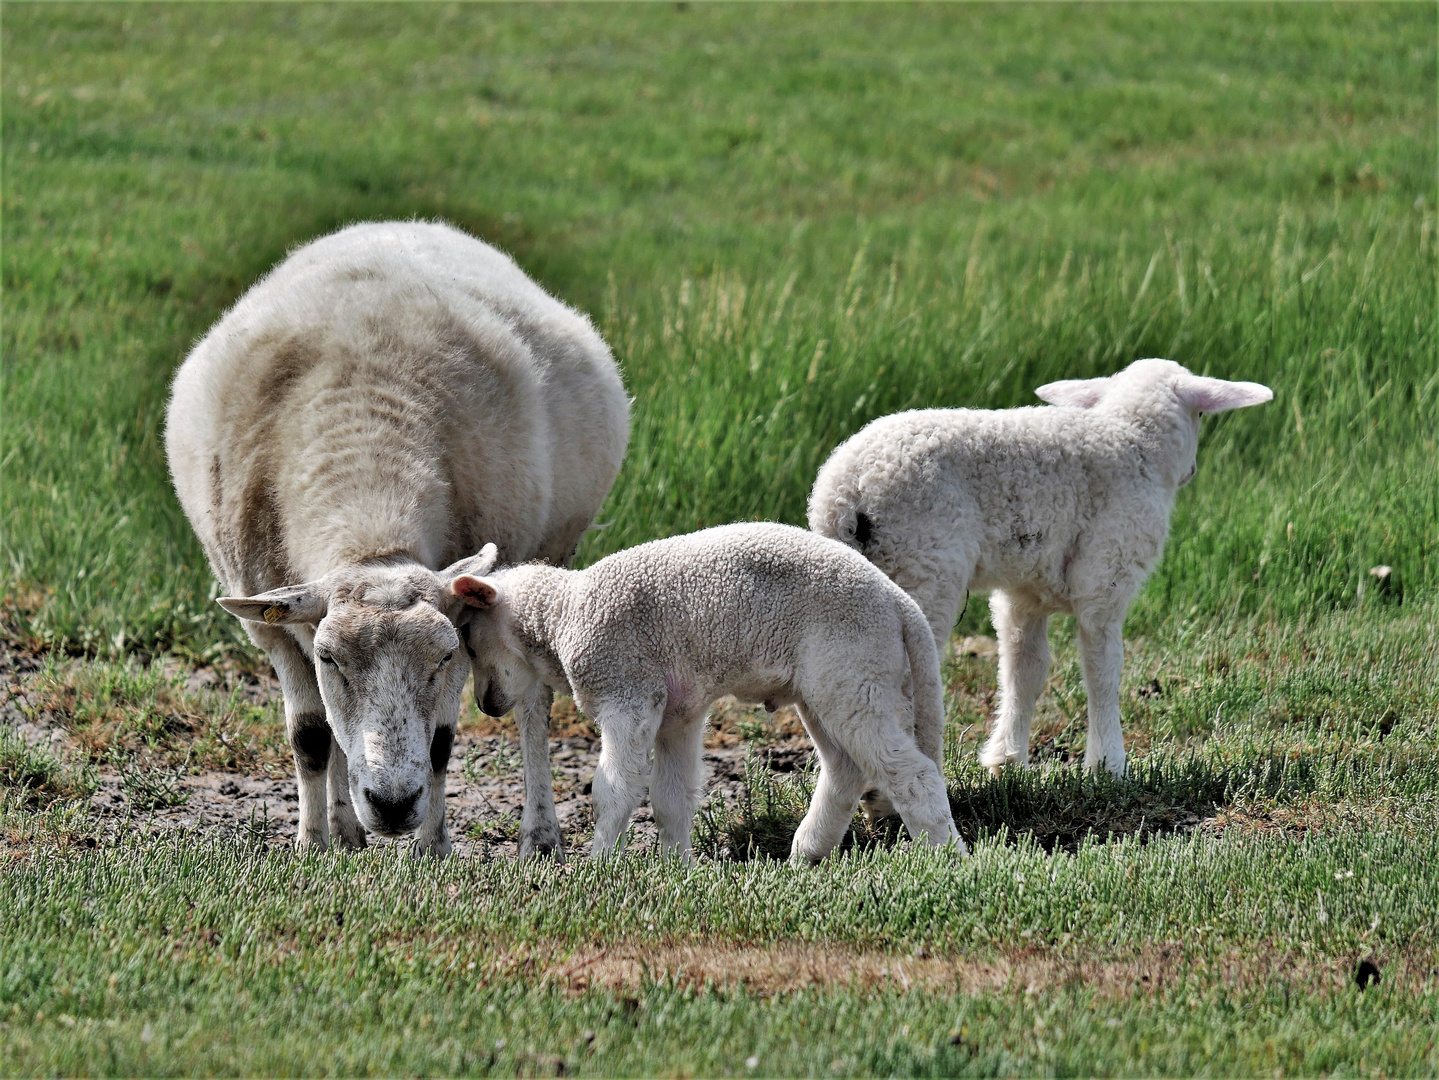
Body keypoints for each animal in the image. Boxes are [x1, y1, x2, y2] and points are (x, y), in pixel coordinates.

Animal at [165, 221, 627, 862]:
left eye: (442, 656)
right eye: (330, 658)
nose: (391, 805)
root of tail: (405, 224)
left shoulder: (462, 622)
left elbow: (439, 741)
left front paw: (431, 847)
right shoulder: (274, 628)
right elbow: (311, 737)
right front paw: (314, 843)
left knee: (534, 702)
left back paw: (538, 837)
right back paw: (347, 831)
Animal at [448, 520, 967, 862]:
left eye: (469, 639)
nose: (486, 706)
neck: (562, 616)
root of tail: (899, 603)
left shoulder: (627, 692)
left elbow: (612, 789)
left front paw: (597, 867)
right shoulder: (677, 713)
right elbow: (670, 798)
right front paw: (675, 869)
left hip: (852, 671)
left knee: (912, 775)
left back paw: (947, 862)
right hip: (831, 685)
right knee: (846, 769)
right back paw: (806, 855)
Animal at [811, 360, 1272, 776]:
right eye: (1200, 414)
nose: (1192, 471)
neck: (1130, 440)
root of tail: (845, 496)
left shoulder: (1025, 591)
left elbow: (1023, 669)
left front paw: (1006, 759)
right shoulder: (1105, 577)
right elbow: (1103, 670)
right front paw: (1108, 764)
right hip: (922, 565)